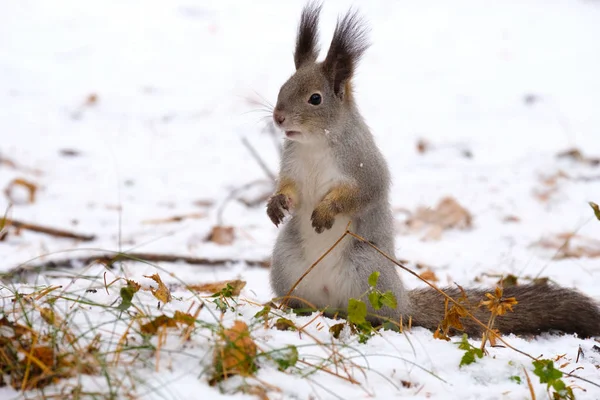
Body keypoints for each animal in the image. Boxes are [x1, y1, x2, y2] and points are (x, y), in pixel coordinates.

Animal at [268, 4, 600, 340]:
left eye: (315, 98)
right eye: (282, 86)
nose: (278, 117)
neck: (314, 144)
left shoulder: (363, 165)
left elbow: (362, 194)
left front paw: (326, 211)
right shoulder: (293, 165)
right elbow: (290, 189)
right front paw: (276, 203)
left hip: (367, 269)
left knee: (385, 316)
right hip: (286, 261)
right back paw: (290, 308)